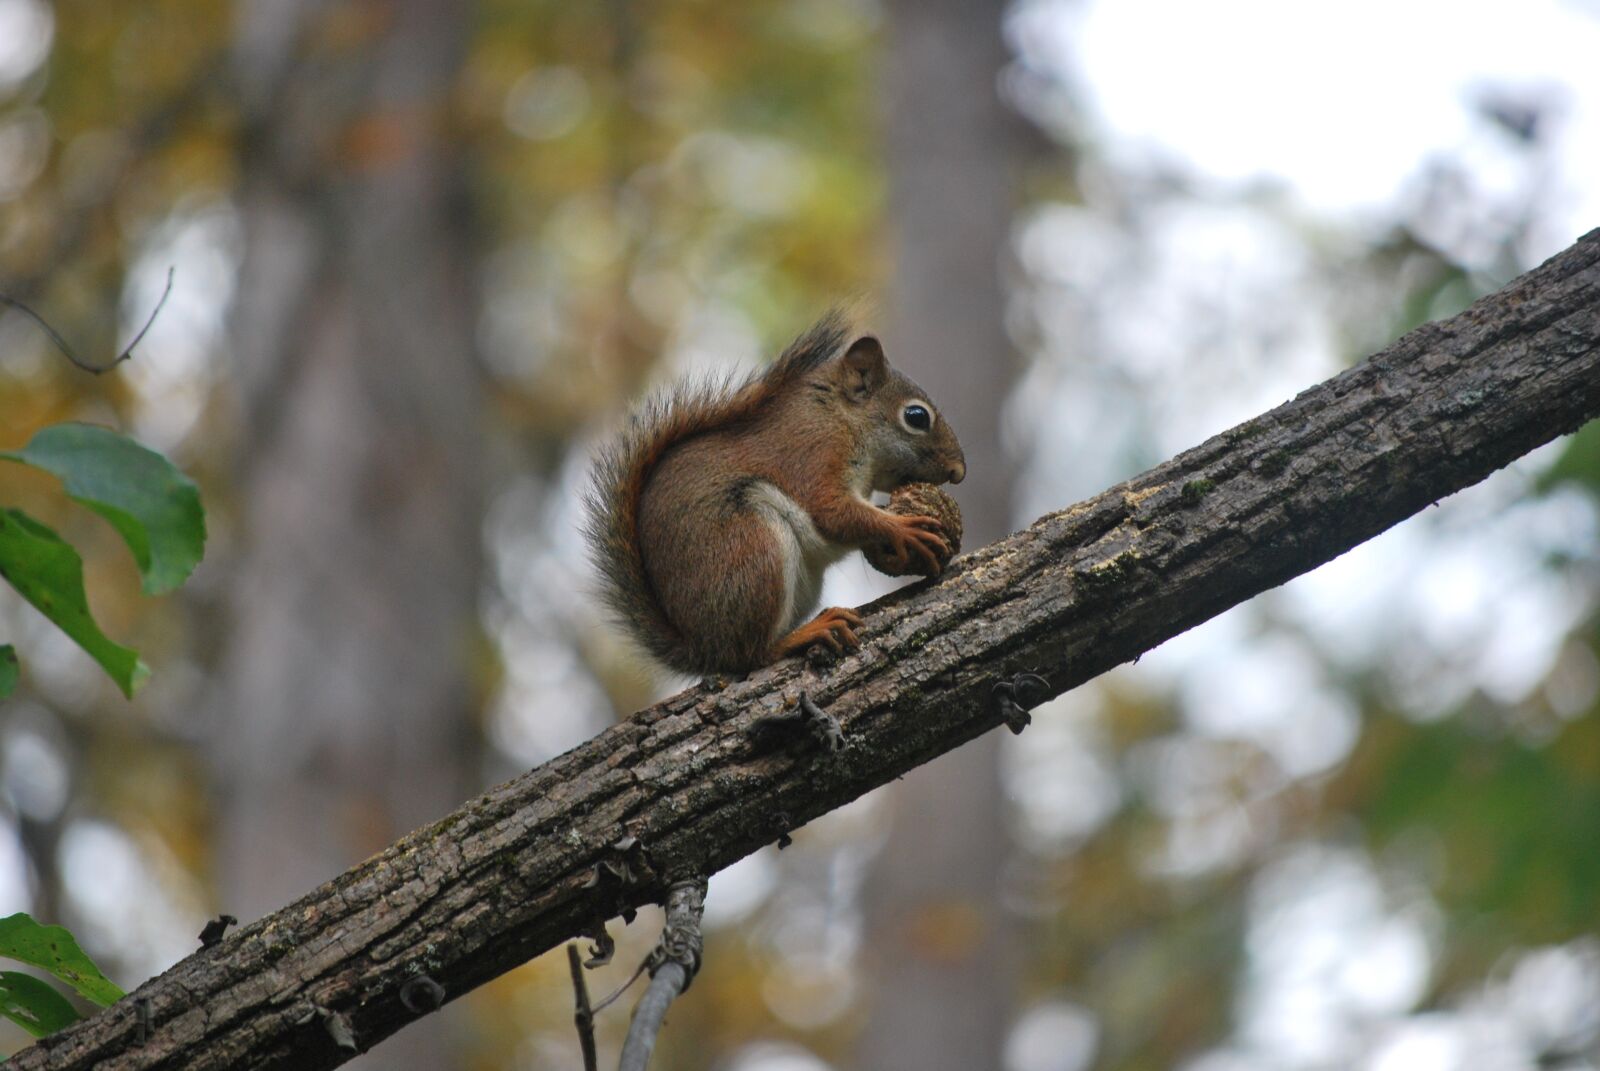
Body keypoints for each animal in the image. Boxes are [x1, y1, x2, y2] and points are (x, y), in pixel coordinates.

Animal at [585, 313, 966, 676]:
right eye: (916, 416)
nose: (959, 472)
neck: (841, 416)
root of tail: (703, 648)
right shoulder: (815, 453)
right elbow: (832, 512)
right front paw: (904, 529)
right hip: (752, 545)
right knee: (751, 655)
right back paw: (805, 634)